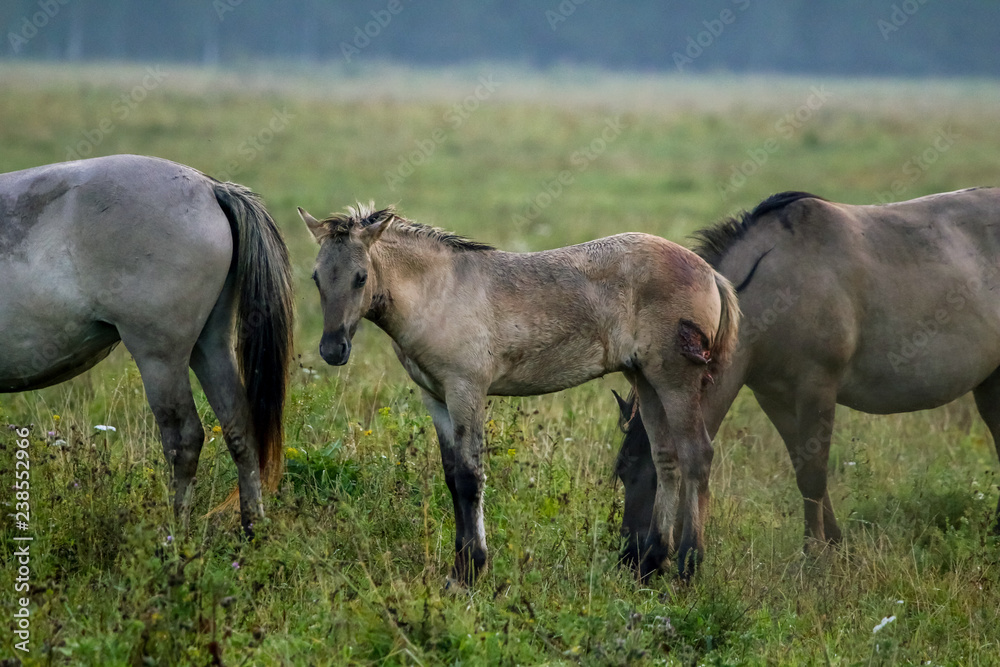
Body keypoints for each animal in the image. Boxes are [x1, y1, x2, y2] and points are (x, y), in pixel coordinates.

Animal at [0, 154, 292, 536]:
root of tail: (210, 188)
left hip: (160, 359)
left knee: (185, 439)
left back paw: (174, 533)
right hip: (210, 347)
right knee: (239, 426)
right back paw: (252, 527)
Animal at [300, 204, 740, 584]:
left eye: (360, 276)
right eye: (316, 277)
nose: (333, 349)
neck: (438, 291)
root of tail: (709, 273)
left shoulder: (467, 390)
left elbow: (469, 476)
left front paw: (470, 570)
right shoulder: (436, 397)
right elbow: (450, 474)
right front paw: (459, 567)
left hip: (675, 379)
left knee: (696, 455)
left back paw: (687, 566)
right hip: (645, 379)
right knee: (666, 458)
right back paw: (651, 564)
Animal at [612, 187, 1000, 564]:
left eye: (658, 479)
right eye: (624, 476)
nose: (634, 558)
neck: (772, 290)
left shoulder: (817, 388)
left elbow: (813, 475)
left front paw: (814, 557)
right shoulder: (774, 397)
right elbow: (802, 466)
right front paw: (837, 547)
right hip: (990, 383)